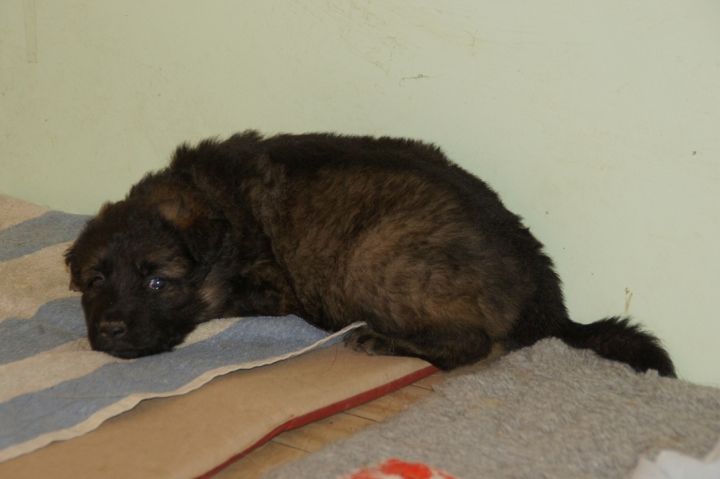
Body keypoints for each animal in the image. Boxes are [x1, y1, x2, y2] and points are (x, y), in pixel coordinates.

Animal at [65, 131, 676, 376]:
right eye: (95, 281)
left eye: (157, 282)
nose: (111, 331)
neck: (214, 199)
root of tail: (547, 300)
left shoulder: (272, 287)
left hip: (372, 256)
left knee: (470, 344)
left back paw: (383, 340)